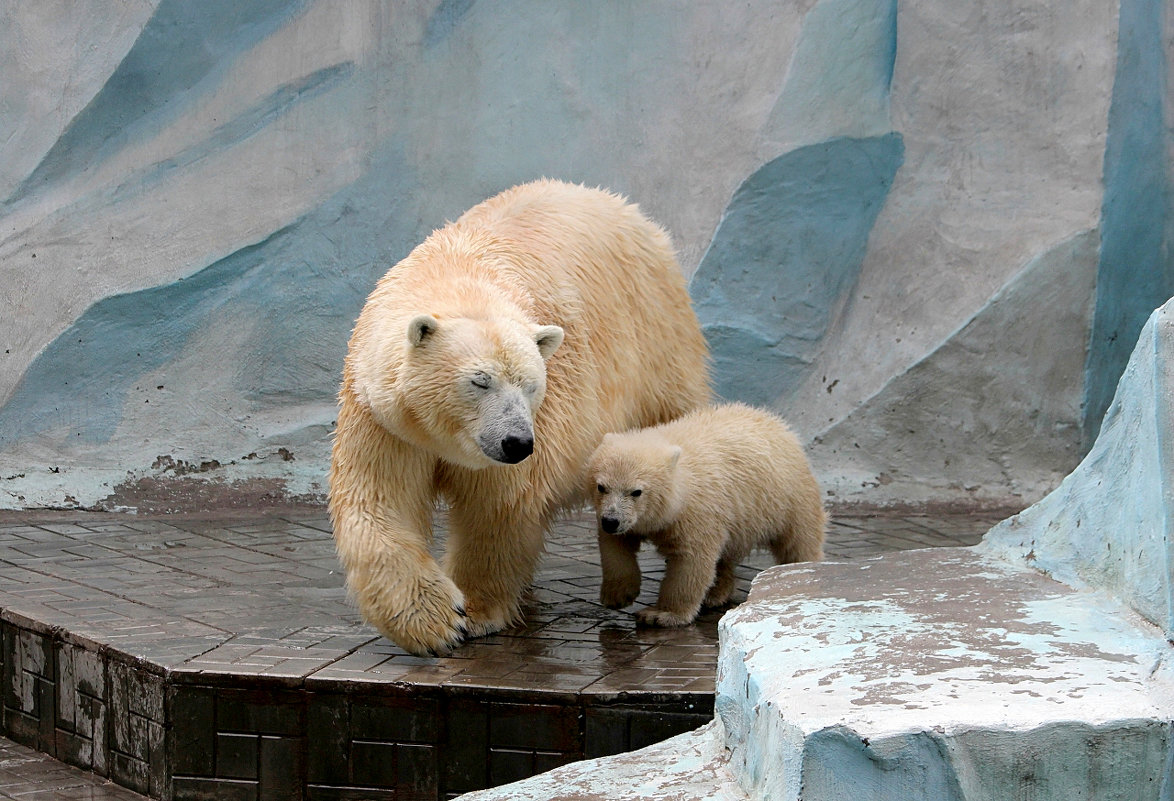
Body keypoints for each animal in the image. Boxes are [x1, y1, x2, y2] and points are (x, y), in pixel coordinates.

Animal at [333, 180, 713, 653]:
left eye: (532, 384)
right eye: (479, 381)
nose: (516, 443)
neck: (459, 273)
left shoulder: (537, 426)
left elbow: (499, 508)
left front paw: (474, 612)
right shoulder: (385, 419)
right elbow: (379, 500)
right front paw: (432, 622)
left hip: (656, 342)